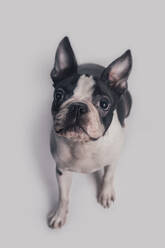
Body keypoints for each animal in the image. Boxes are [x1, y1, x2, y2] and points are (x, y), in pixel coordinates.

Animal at [47, 36, 131, 229]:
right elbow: (63, 196)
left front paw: (105, 194)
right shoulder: (61, 170)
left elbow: (108, 176)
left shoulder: (112, 160)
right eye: (59, 95)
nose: (78, 106)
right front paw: (60, 215)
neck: (84, 144)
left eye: (104, 104)